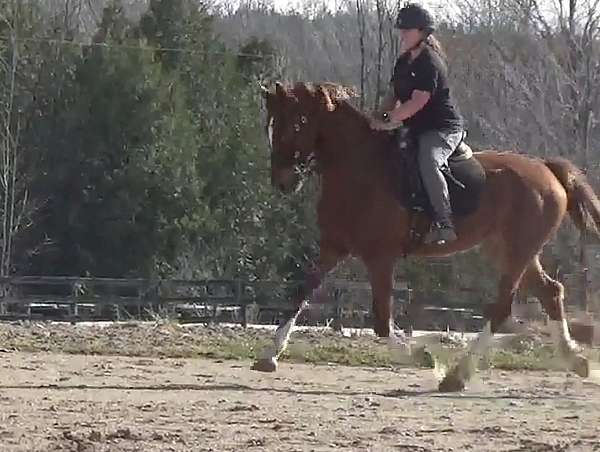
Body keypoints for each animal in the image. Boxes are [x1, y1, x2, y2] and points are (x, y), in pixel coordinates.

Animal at [253, 79, 600, 390]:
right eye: (271, 127)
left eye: (295, 124)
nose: (282, 181)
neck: (358, 170)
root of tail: (546, 168)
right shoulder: (333, 246)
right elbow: (300, 293)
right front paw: (269, 355)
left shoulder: (380, 257)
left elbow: (382, 321)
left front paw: (422, 357)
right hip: (509, 249)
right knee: (550, 292)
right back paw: (576, 361)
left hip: (517, 251)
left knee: (504, 307)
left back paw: (457, 375)